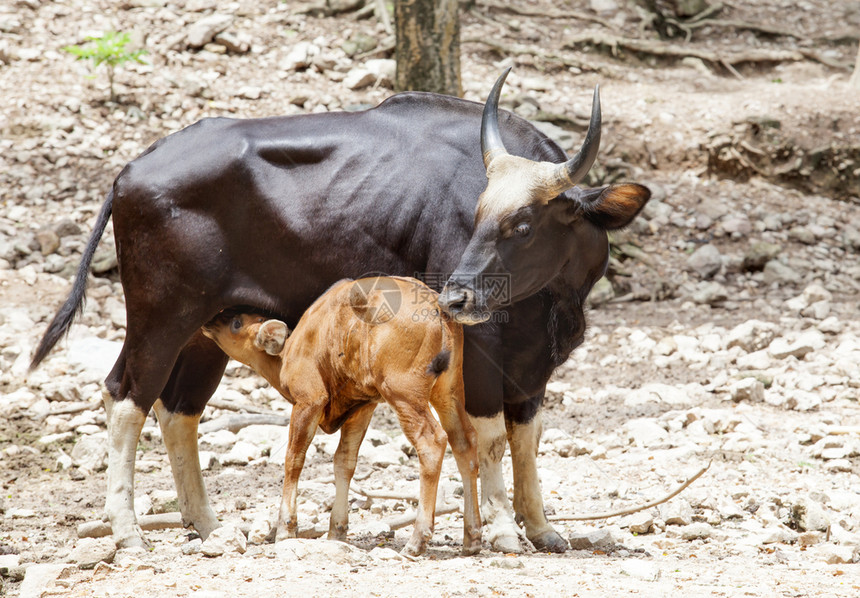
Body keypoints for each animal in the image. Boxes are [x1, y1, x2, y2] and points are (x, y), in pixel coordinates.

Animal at [202, 278, 484, 556]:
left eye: (237, 323)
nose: (209, 321)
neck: (291, 349)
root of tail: (437, 309)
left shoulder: (309, 401)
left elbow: (294, 459)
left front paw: (285, 529)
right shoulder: (363, 406)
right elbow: (344, 461)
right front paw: (336, 530)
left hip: (403, 394)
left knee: (432, 442)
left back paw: (417, 540)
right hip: (448, 393)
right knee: (465, 441)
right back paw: (472, 538)